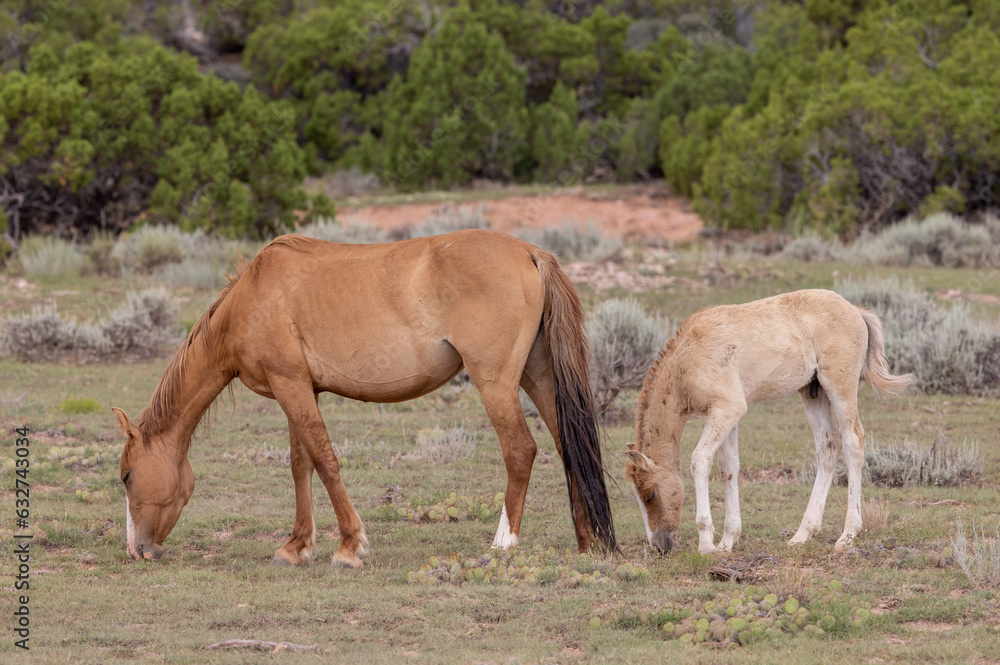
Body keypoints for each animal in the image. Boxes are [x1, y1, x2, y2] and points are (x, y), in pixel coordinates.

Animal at [115, 228, 616, 564]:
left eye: (126, 476)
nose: (138, 550)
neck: (252, 297)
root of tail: (531, 251)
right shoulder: (298, 388)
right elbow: (301, 465)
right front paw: (296, 546)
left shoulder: (290, 385)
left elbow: (324, 461)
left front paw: (349, 546)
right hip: (538, 376)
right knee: (569, 447)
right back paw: (588, 540)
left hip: (495, 383)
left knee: (520, 450)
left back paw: (503, 543)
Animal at [624, 290, 916, 556]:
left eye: (650, 494)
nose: (659, 546)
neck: (687, 358)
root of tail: (855, 310)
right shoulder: (726, 414)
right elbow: (728, 466)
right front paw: (727, 542)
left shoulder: (727, 409)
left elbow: (700, 460)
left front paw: (707, 545)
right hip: (813, 392)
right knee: (828, 446)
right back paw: (802, 534)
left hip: (839, 386)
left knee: (853, 440)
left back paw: (847, 535)